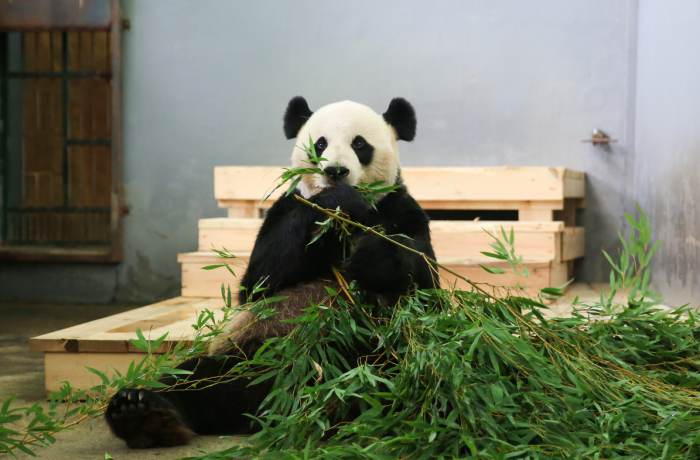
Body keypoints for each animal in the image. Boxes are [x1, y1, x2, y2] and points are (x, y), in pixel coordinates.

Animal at [104, 96, 438, 446]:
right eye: (320, 144)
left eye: (359, 144)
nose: (335, 172)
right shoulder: (290, 205)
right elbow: (259, 279)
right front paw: (339, 199)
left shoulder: (399, 207)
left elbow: (423, 278)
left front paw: (368, 258)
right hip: (250, 351)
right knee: (195, 378)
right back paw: (141, 414)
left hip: (390, 355)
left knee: (422, 369)